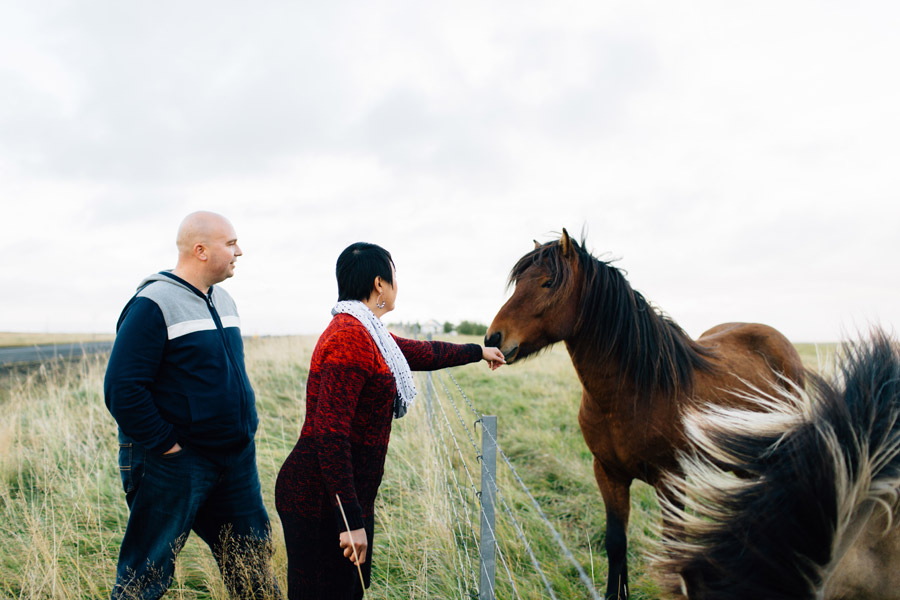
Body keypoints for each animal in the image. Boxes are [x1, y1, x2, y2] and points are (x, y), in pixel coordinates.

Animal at [486, 231, 808, 600]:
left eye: (548, 282)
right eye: (517, 283)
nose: (493, 338)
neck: (632, 394)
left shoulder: (672, 480)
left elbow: (674, 553)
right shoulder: (608, 474)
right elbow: (616, 543)